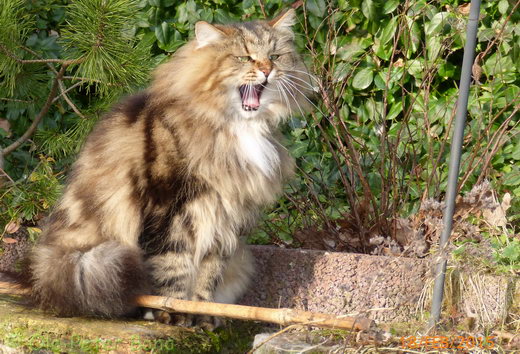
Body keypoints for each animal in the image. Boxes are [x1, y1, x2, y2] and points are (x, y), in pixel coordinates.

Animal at [27, 9, 308, 330]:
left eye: (275, 56)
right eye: (244, 57)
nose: (267, 70)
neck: (236, 127)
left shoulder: (225, 217)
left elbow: (207, 276)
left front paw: (201, 315)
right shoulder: (167, 208)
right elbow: (172, 267)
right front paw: (169, 313)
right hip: (91, 257)